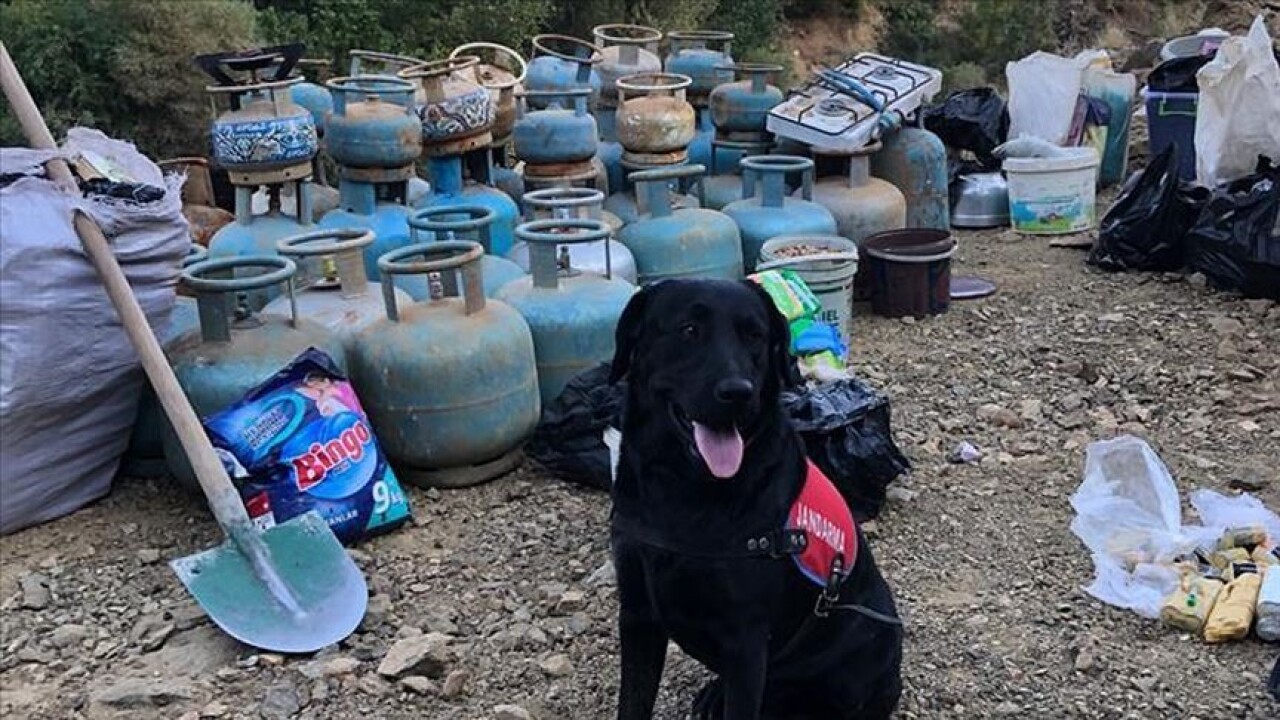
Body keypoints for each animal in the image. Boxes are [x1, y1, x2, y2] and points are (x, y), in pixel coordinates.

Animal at [606, 275, 901, 717]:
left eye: (755, 336)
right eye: (689, 330)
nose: (738, 392)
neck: (682, 490)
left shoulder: (745, 641)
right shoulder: (638, 615)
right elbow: (633, 702)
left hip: (863, 645)